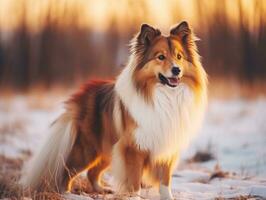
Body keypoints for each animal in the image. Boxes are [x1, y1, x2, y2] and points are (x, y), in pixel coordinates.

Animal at [20, 21, 208, 199]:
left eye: (179, 56)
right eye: (160, 57)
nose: (176, 69)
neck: (164, 96)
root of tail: (81, 94)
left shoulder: (166, 147)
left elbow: (164, 181)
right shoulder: (133, 149)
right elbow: (134, 183)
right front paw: (133, 197)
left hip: (109, 148)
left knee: (92, 173)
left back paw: (103, 190)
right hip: (87, 149)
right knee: (65, 172)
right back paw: (67, 194)